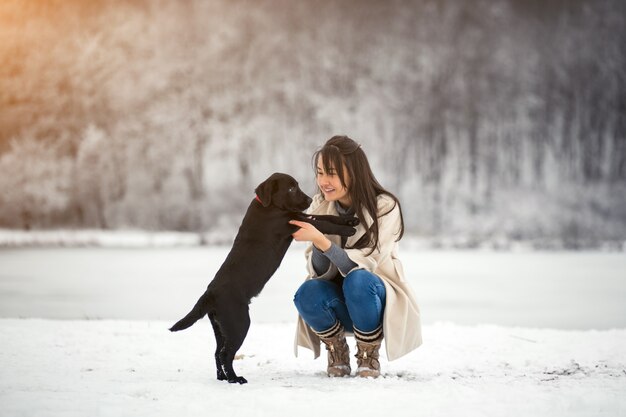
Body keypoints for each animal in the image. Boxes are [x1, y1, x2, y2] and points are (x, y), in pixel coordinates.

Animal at [168, 172, 358, 384]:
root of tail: (210, 293)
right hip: (238, 323)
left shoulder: (299, 216)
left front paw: (350, 220)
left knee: (217, 352)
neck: (270, 207)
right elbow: (322, 223)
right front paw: (348, 230)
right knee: (226, 354)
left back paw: (222, 378)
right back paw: (235, 379)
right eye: (291, 188)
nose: (309, 200)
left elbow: (325, 216)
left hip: (220, 327)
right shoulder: (292, 222)